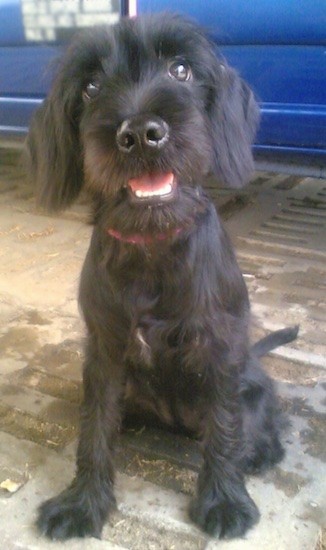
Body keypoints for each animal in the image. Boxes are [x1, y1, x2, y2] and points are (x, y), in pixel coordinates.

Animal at [27, 14, 298, 544]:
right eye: (90, 87)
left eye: (181, 70)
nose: (139, 133)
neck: (151, 245)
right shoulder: (106, 352)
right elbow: (94, 429)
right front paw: (82, 502)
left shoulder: (219, 348)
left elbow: (223, 426)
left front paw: (224, 500)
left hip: (251, 385)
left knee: (255, 423)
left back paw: (259, 451)